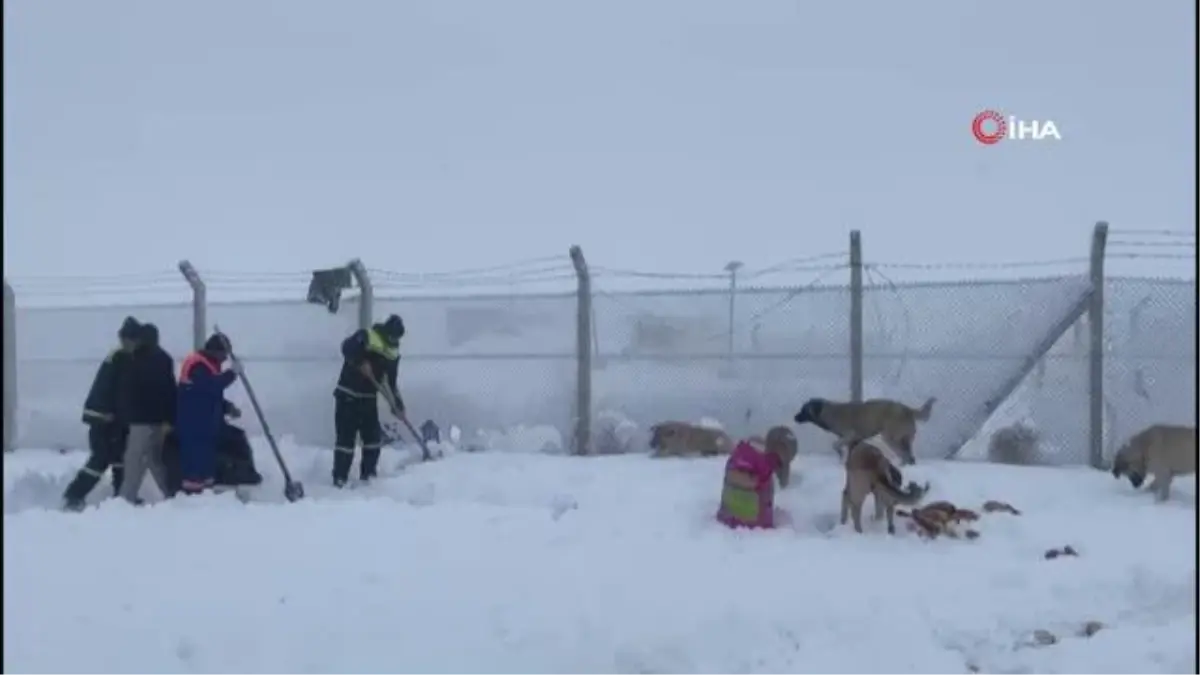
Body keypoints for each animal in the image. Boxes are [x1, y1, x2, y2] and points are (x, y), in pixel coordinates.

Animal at [796, 393, 936, 461]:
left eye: (803, 410)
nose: (794, 417)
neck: (829, 412)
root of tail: (908, 409)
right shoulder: (854, 440)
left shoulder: (849, 435)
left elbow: (835, 445)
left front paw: (840, 454)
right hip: (905, 439)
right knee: (909, 457)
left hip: (891, 438)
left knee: (905, 456)